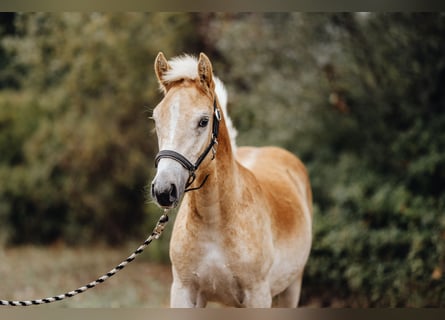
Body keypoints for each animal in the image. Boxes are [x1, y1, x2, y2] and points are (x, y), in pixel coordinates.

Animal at [149, 52, 312, 308]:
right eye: (156, 119)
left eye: (203, 121)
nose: (164, 190)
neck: (216, 221)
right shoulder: (184, 292)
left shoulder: (258, 296)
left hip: (292, 287)